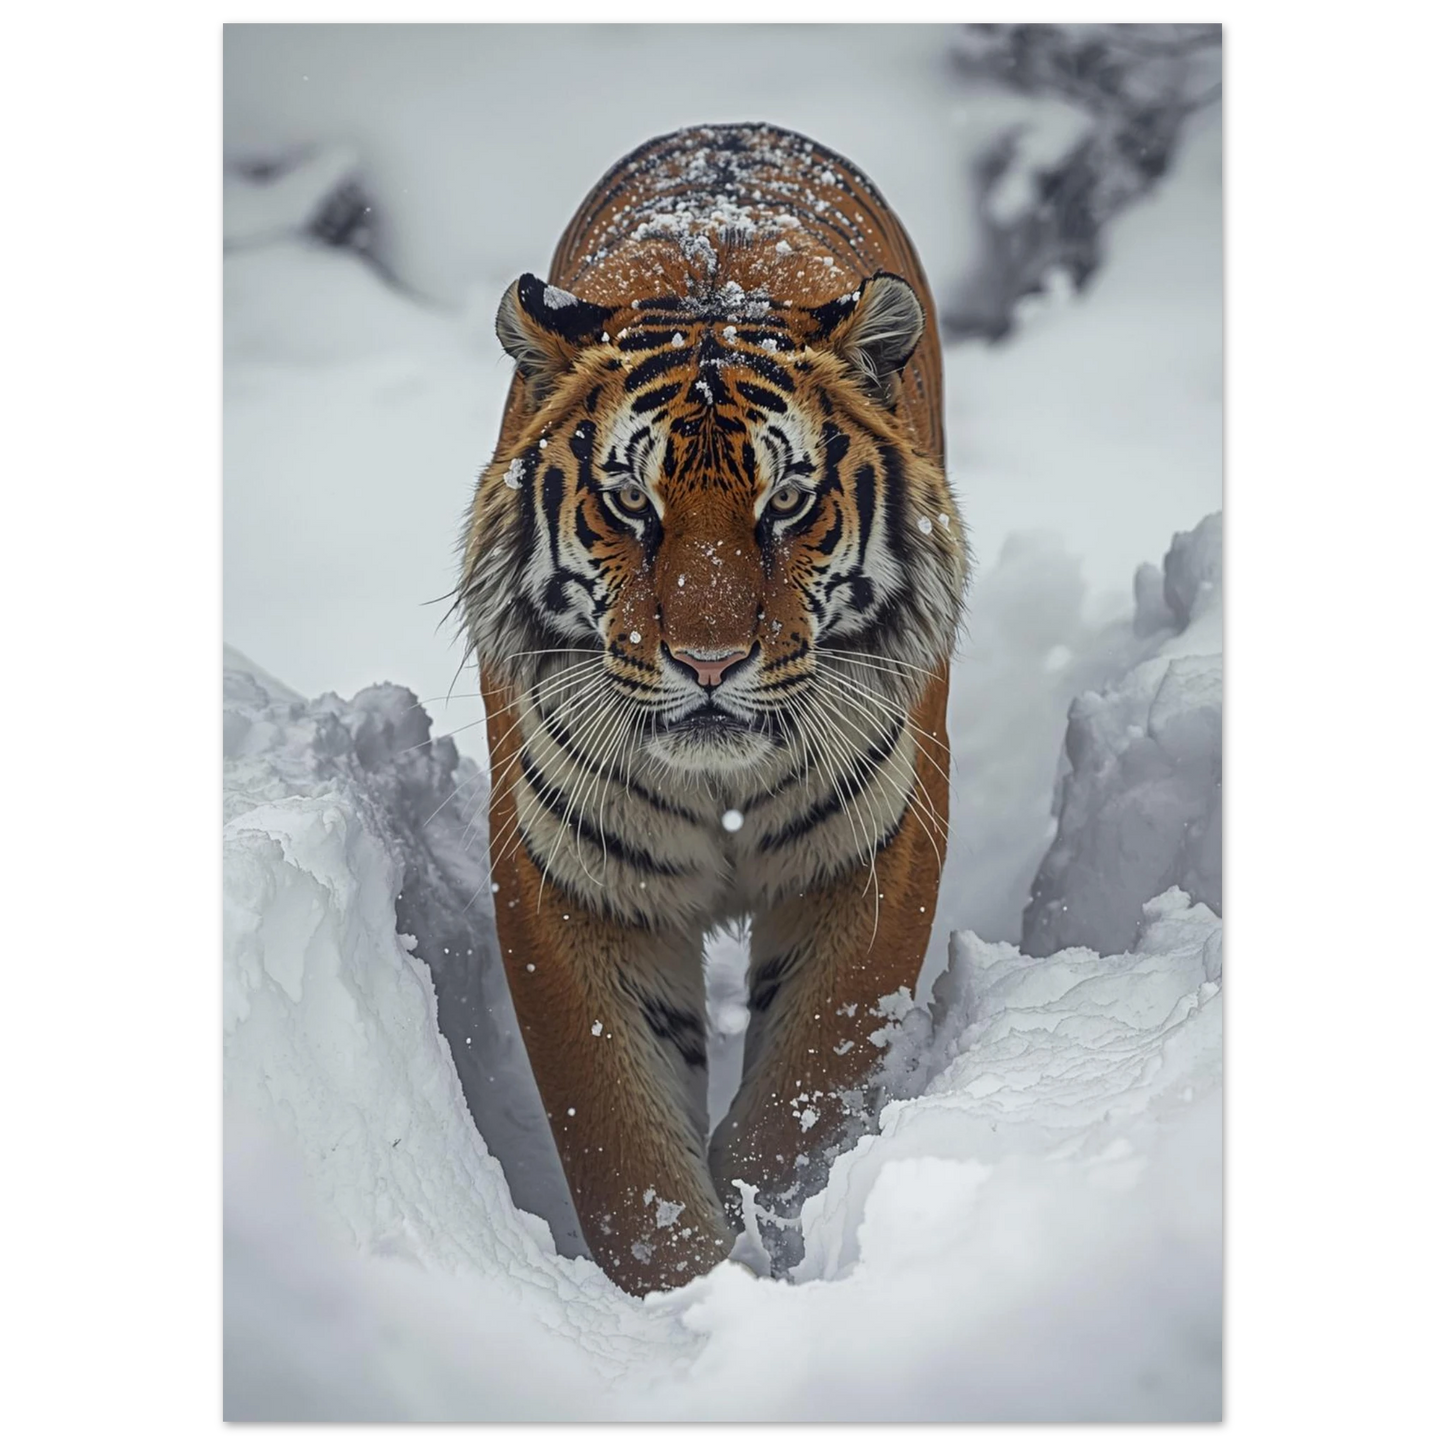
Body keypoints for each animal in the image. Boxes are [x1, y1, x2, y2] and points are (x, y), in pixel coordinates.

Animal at [457, 122, 969, 1296]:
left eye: (786, 502)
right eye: (628, 502)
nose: (706, 660)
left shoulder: (873, 848)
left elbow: (805, 1086)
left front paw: (761, 1224)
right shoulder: (568, 875)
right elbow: (619, 1143)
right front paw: (687, 1289)